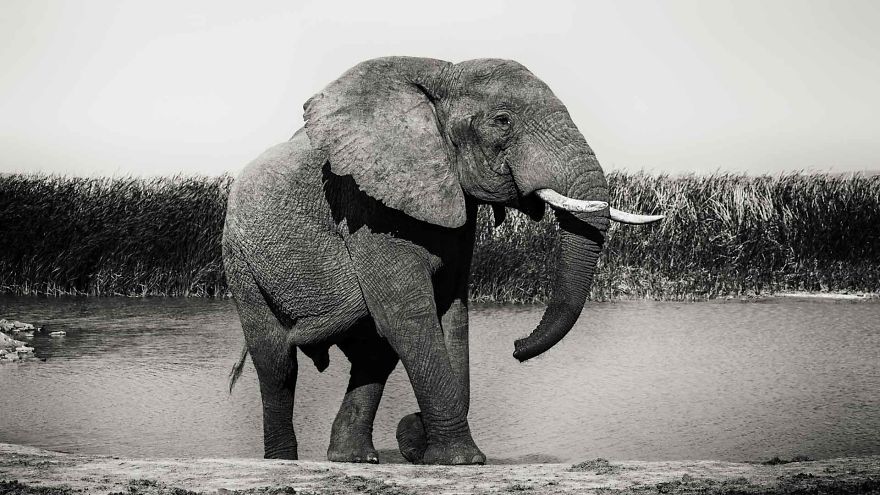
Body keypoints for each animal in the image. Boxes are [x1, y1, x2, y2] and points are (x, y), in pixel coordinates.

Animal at [222, 56, 663, 465]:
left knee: (372, 354)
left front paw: (425, 446)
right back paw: (284, 460)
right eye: (502, 121)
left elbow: (453, 313)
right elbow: (410, 316)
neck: (441, 74)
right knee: (277, 362)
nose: (517, 347)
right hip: (241, 261)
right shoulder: (367, 208)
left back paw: (354, 458)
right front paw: (460, 460)